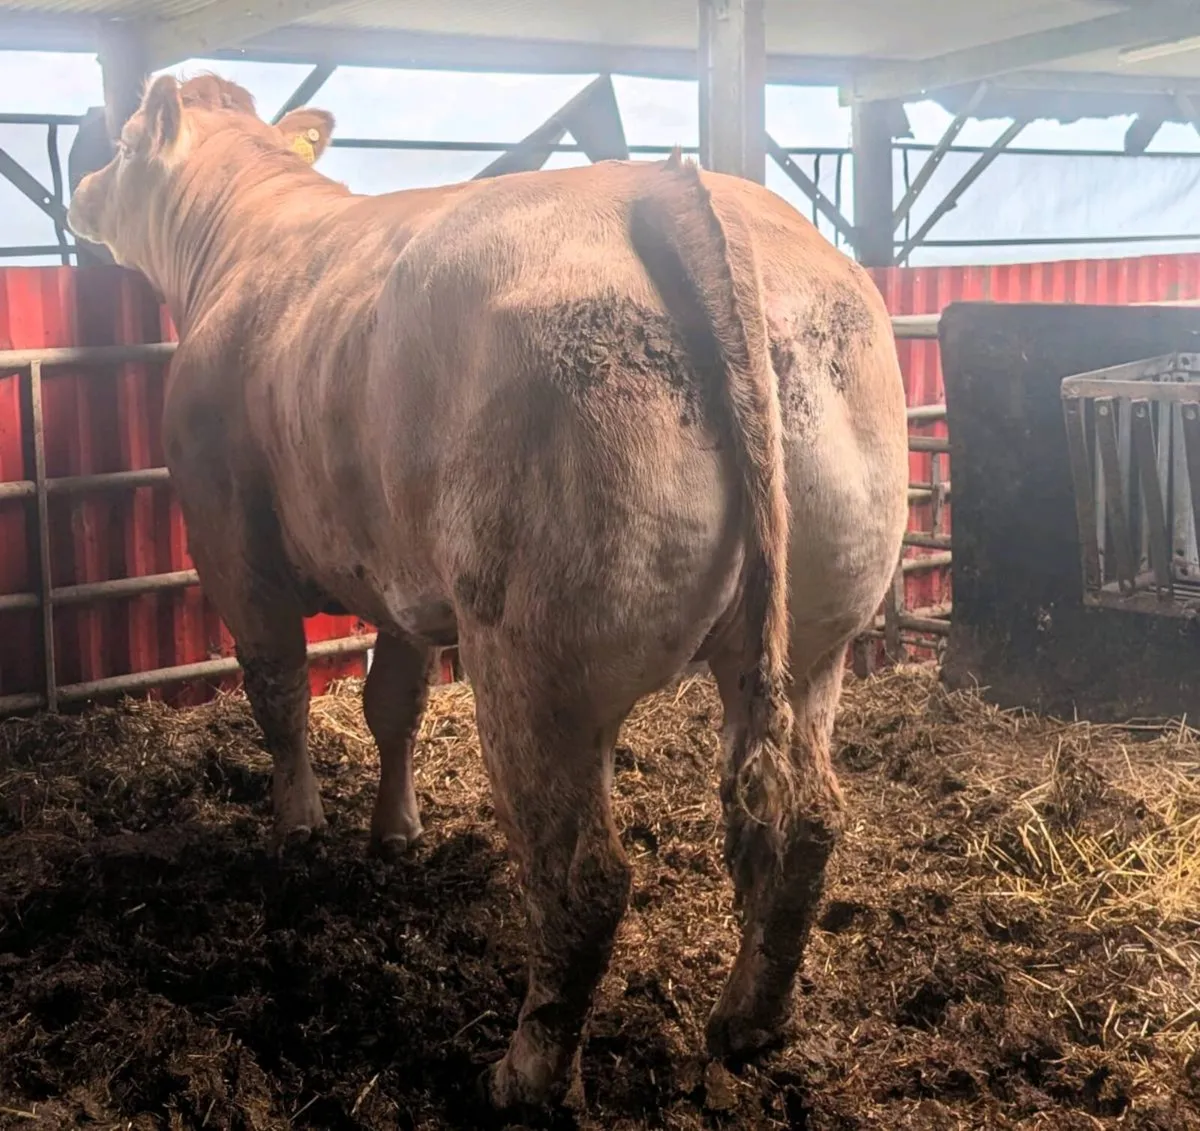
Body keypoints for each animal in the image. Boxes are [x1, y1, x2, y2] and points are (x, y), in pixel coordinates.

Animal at [67, 73, 909, 1111]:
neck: (250, 234)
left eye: (123, 145)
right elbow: (393, 704)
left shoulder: (230, 535)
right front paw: (395, 831)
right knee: (810, 819)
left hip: (534, 661)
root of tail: (675, 188)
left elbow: (279, 693)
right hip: (819, 635)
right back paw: (751, 1021)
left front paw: (297, 831)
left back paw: (525, 1075)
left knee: (582, 877)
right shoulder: (398, 576)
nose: (83, 190)